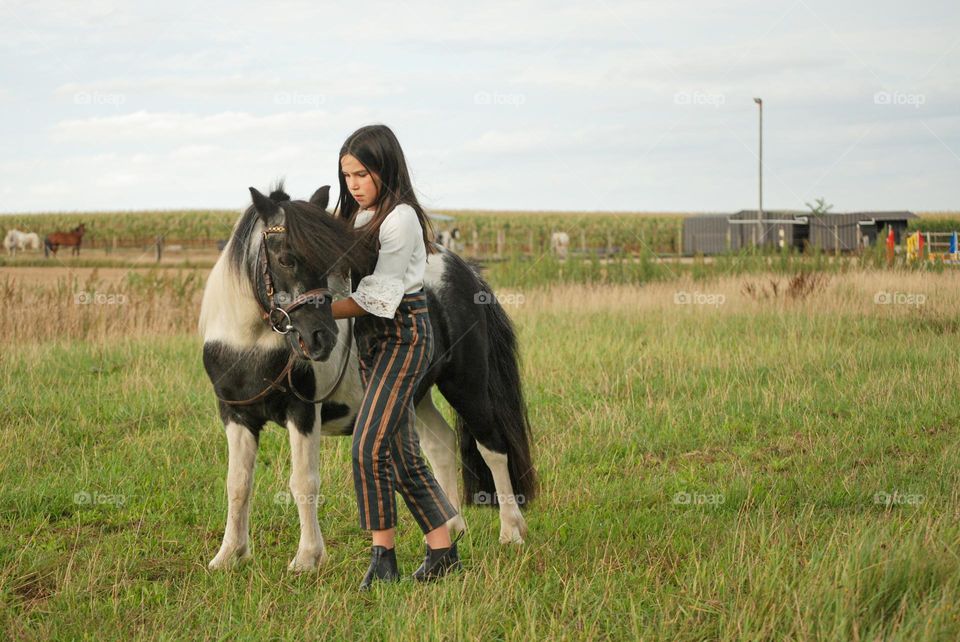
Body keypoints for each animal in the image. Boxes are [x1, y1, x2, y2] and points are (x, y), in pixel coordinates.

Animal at [200, 185, 536, 568]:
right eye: (285, 259)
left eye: (330, 262)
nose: (321, 338)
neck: (250, 345)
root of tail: (466, 272)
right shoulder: (236, 415)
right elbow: (237, 483)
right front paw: (229, 555)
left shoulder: (303, 413)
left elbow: (303, 482)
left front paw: (308, 558)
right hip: (415, 394)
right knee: (441, 443)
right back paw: (451, 527)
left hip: (466, 385)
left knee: (492, 447)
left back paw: (511, 532)